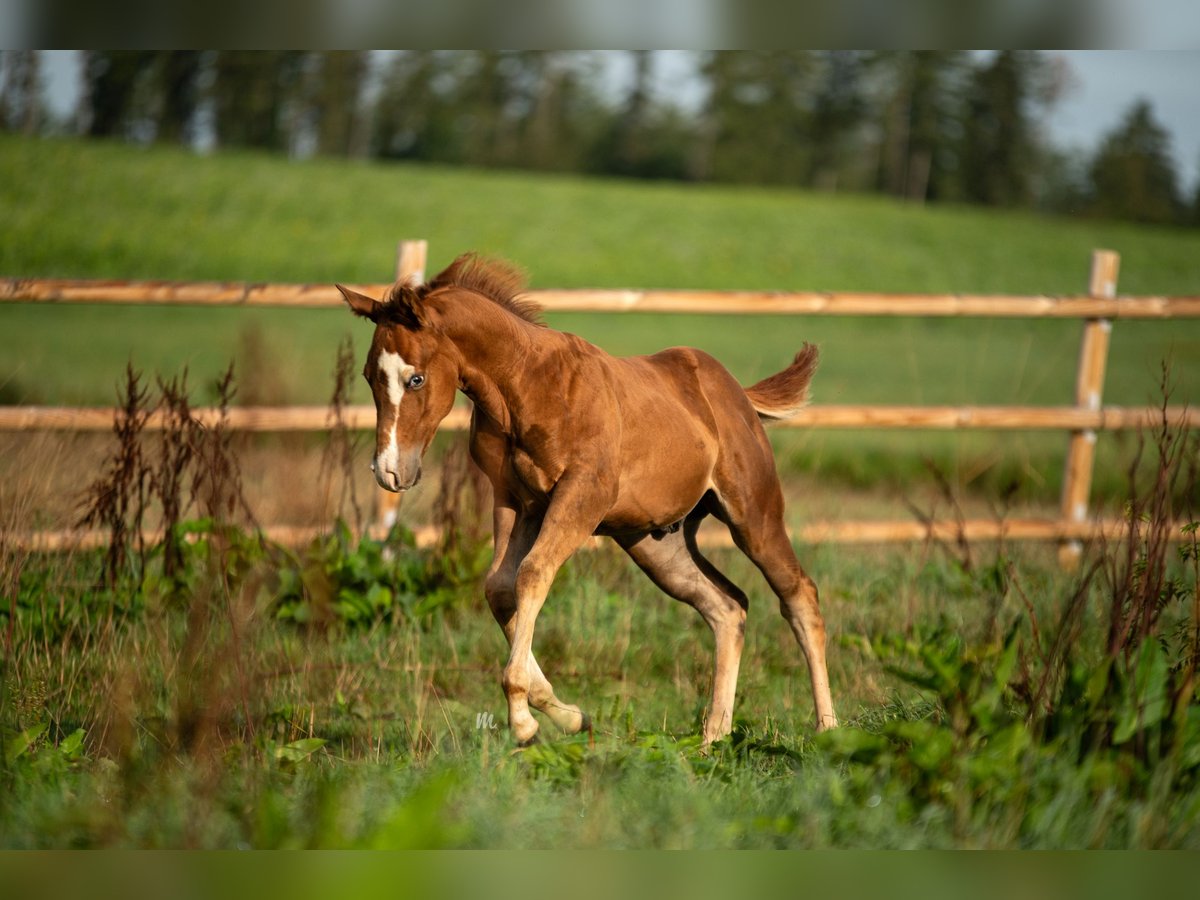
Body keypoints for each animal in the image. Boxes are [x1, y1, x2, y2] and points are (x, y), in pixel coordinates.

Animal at [336, 253, 836, 746]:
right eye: (369, 376)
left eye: (416, 379)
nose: (390, 471)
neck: (526, 387)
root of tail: (737, 395)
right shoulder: (515, 501)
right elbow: (500, 586)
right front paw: (568, 715)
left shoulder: (582, 494)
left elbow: (532, 573)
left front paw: (523, 719)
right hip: (656, 543)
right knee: (727, 607)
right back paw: (713, 736)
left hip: (753, 514)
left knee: (799, 595)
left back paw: (827, 727)